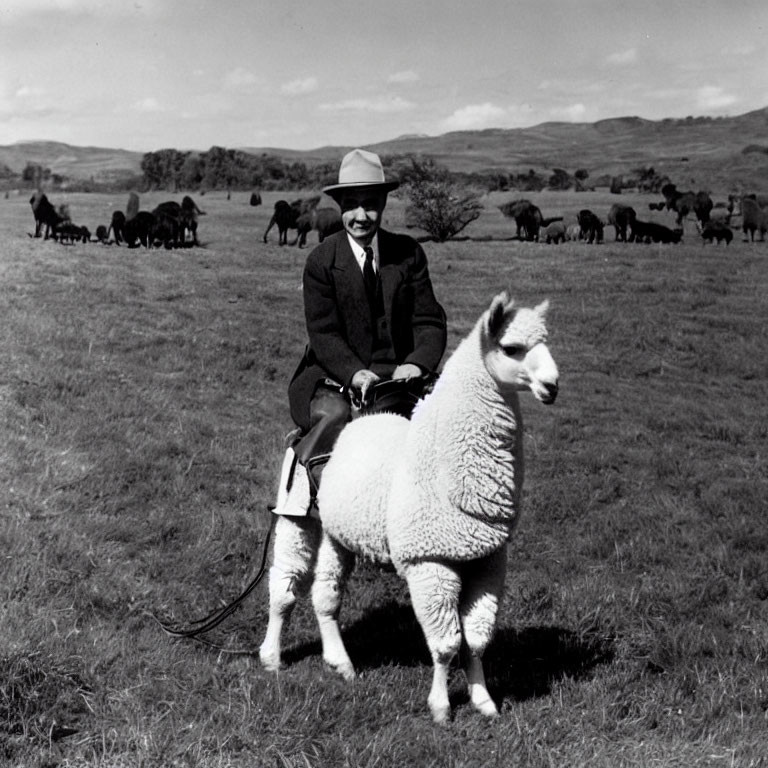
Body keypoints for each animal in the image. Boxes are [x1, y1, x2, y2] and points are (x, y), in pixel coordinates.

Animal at [260, 292, 560, 724]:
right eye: (511, 348)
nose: (553, 386)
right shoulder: (429, 561)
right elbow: (447, 644)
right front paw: (441, 708)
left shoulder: (486, 560)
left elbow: (477, 639)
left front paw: (484, 701)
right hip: (297, 515)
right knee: (284, 586)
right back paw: (271, 657)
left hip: (338, 532)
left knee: (325, 595)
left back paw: (340, 663)